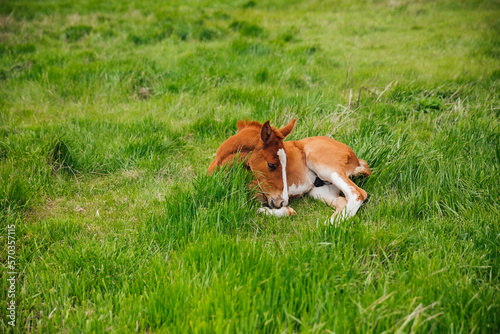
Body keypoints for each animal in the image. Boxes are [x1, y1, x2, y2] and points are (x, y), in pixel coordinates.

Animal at [206, 118, 368, 223]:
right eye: (271, 164)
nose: (283, 201)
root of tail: (355, 158)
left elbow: (257, 209)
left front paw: (273, 211)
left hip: (326, 167)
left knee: (358, 193)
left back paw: (329, 225)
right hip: (319, 191)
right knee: (343, 201)